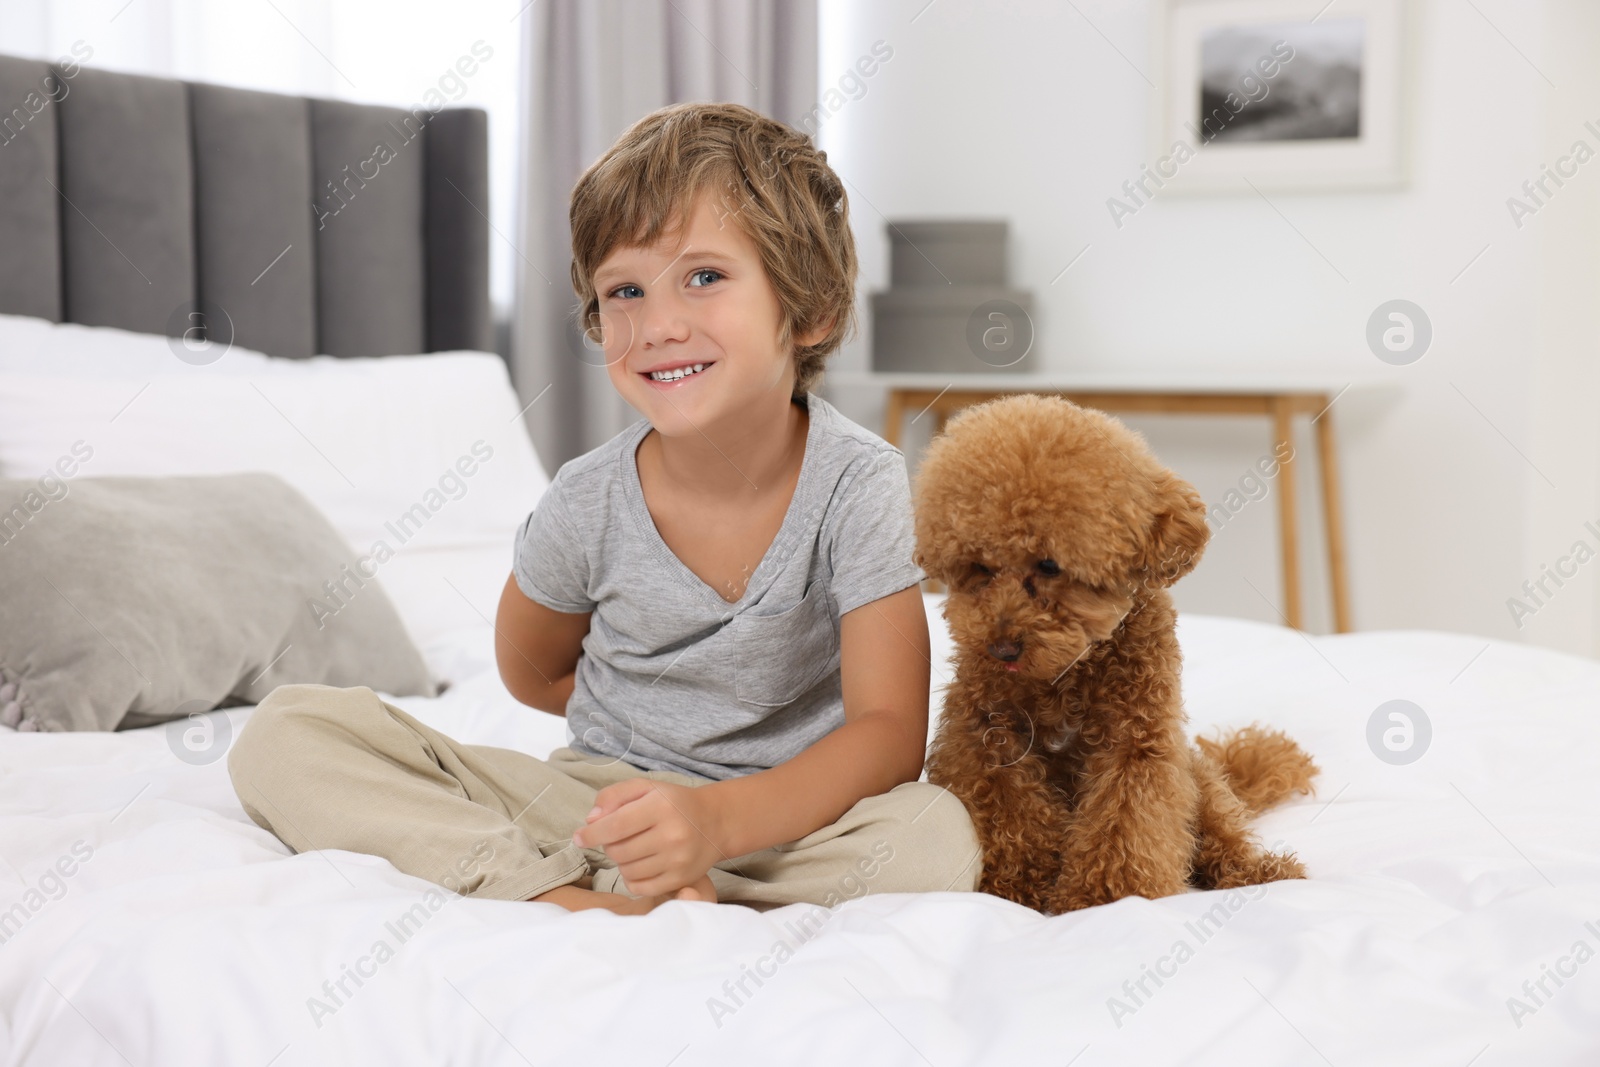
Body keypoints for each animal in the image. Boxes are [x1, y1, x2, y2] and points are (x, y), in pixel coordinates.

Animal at [921, 396, 1318, 915]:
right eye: (980, 568)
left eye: (1049, 565)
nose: (1001, 647)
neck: (1067, 672)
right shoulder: (985, 738)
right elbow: (1014, 815)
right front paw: (1019, 887)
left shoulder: (1139, 741)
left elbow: (1126, 818)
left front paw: (1105, 897)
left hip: (1197, 778)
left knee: (1222, 832)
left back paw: (1257, 871)